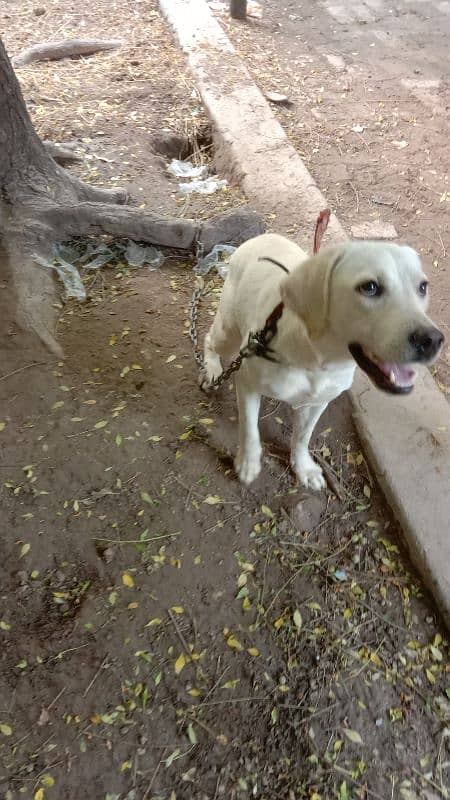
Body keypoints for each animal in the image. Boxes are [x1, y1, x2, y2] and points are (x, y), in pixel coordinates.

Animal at [201, 234, 442, 490]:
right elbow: (249, 430)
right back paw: (212, 371)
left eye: (423, 287)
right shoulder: (247, 383)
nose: (432, 339)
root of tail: (261, 236)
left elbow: (302, 437)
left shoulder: (318, 401)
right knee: (209, 340)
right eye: (370, 287)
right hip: (227, 332)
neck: (318, 361)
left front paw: (303, 468)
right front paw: (248, 463)